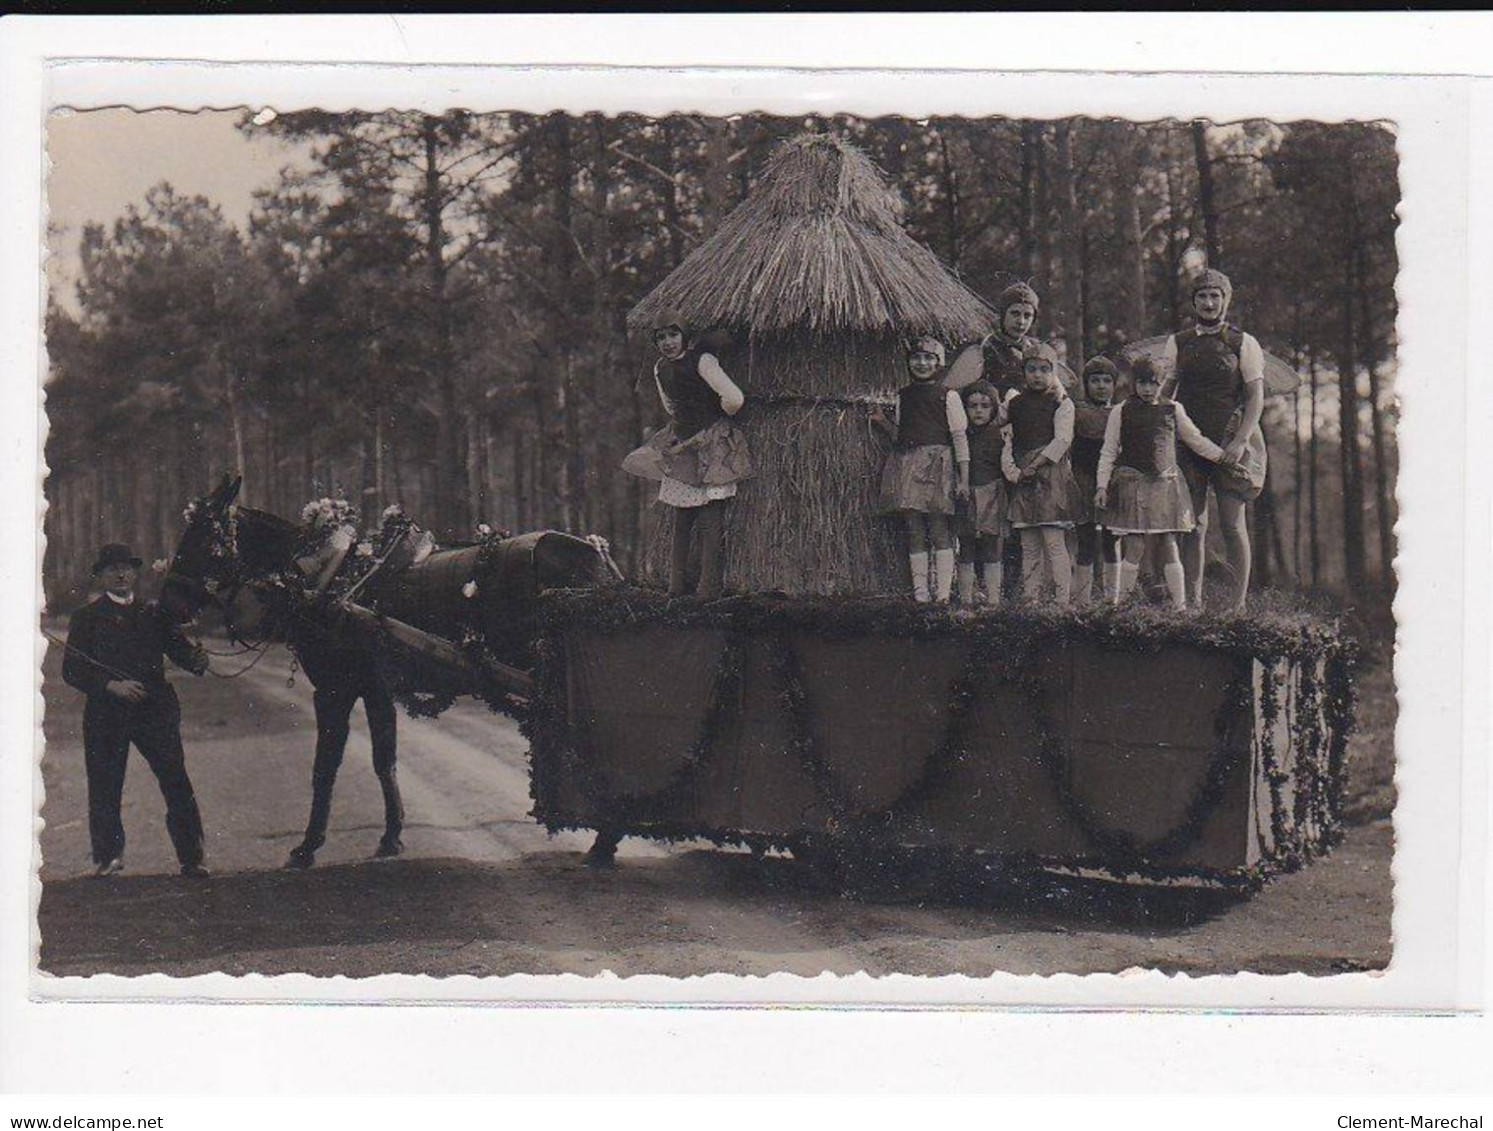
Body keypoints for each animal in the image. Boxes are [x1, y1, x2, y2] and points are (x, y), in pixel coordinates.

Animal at [164, 474, 624, 871]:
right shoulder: (377, 688)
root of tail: (595, 558)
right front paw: (391, 836)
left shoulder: (334, 689)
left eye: (201, 536)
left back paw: (604, 842)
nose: (169, 597)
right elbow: (384, 760)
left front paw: (307, 846)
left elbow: (325, 767)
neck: (323, 580)